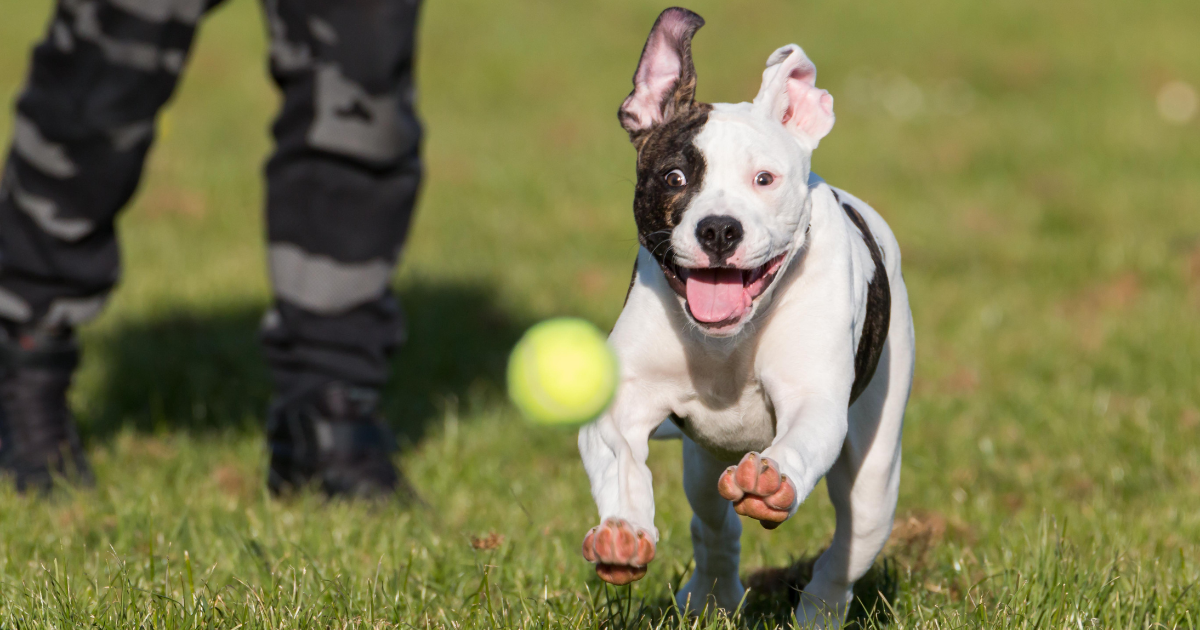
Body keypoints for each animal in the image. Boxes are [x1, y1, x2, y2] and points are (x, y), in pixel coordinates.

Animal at [576, 6, 912, 624]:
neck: (727, 341)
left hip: (875, 474)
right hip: (702, 464)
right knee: (713, 526)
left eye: (764, 179)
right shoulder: (623, 403)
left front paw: (770, 479)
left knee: (848, 549)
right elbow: (621, 458)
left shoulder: (813, 399)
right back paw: (711, 596)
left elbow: (801, 437)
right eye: (675, 177)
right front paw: (624, 530)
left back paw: (819, 612)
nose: (718, 229)